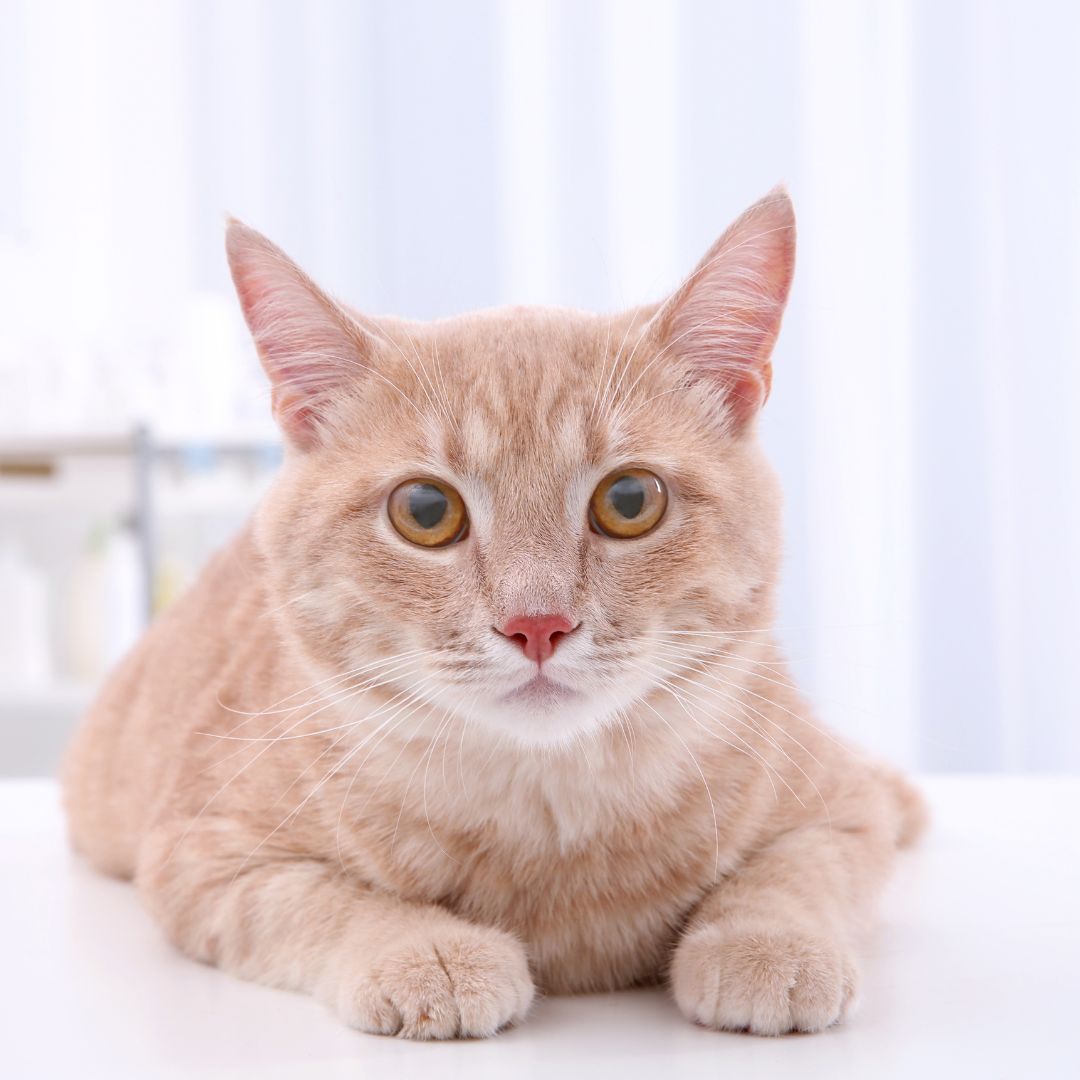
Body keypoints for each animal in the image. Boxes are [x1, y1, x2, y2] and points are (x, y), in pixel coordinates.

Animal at [65, 190, 928, 1041]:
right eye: (425, 510)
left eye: (630, 501)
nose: (536, 623)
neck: (547, 818)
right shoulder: (201, 857)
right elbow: (321, 904)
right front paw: (427, 949)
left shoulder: (844, 811)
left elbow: (795, 871)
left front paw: (765, 942)